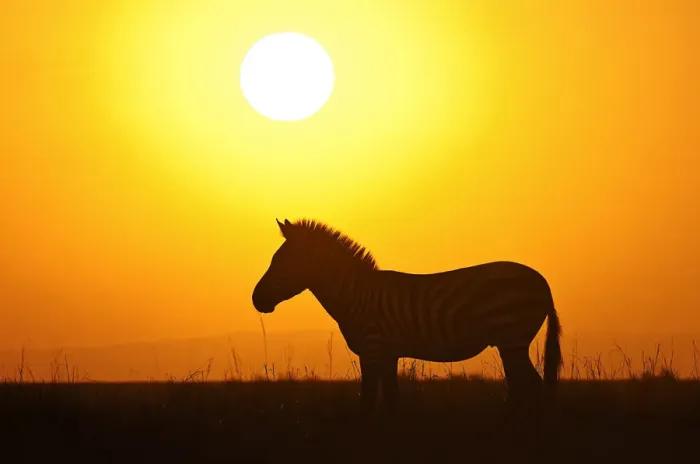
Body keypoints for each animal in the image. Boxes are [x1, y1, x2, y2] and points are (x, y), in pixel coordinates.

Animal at [252, 218, 563, 414]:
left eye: (279, 261)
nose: (255, 300)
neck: (356, 294)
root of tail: (543, 282)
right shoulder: (389, 353)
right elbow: (391, 401)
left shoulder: (372, 348)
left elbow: (368, 401)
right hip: (510, 342)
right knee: (522, 387)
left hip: (512, 338)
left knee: (530, 385)